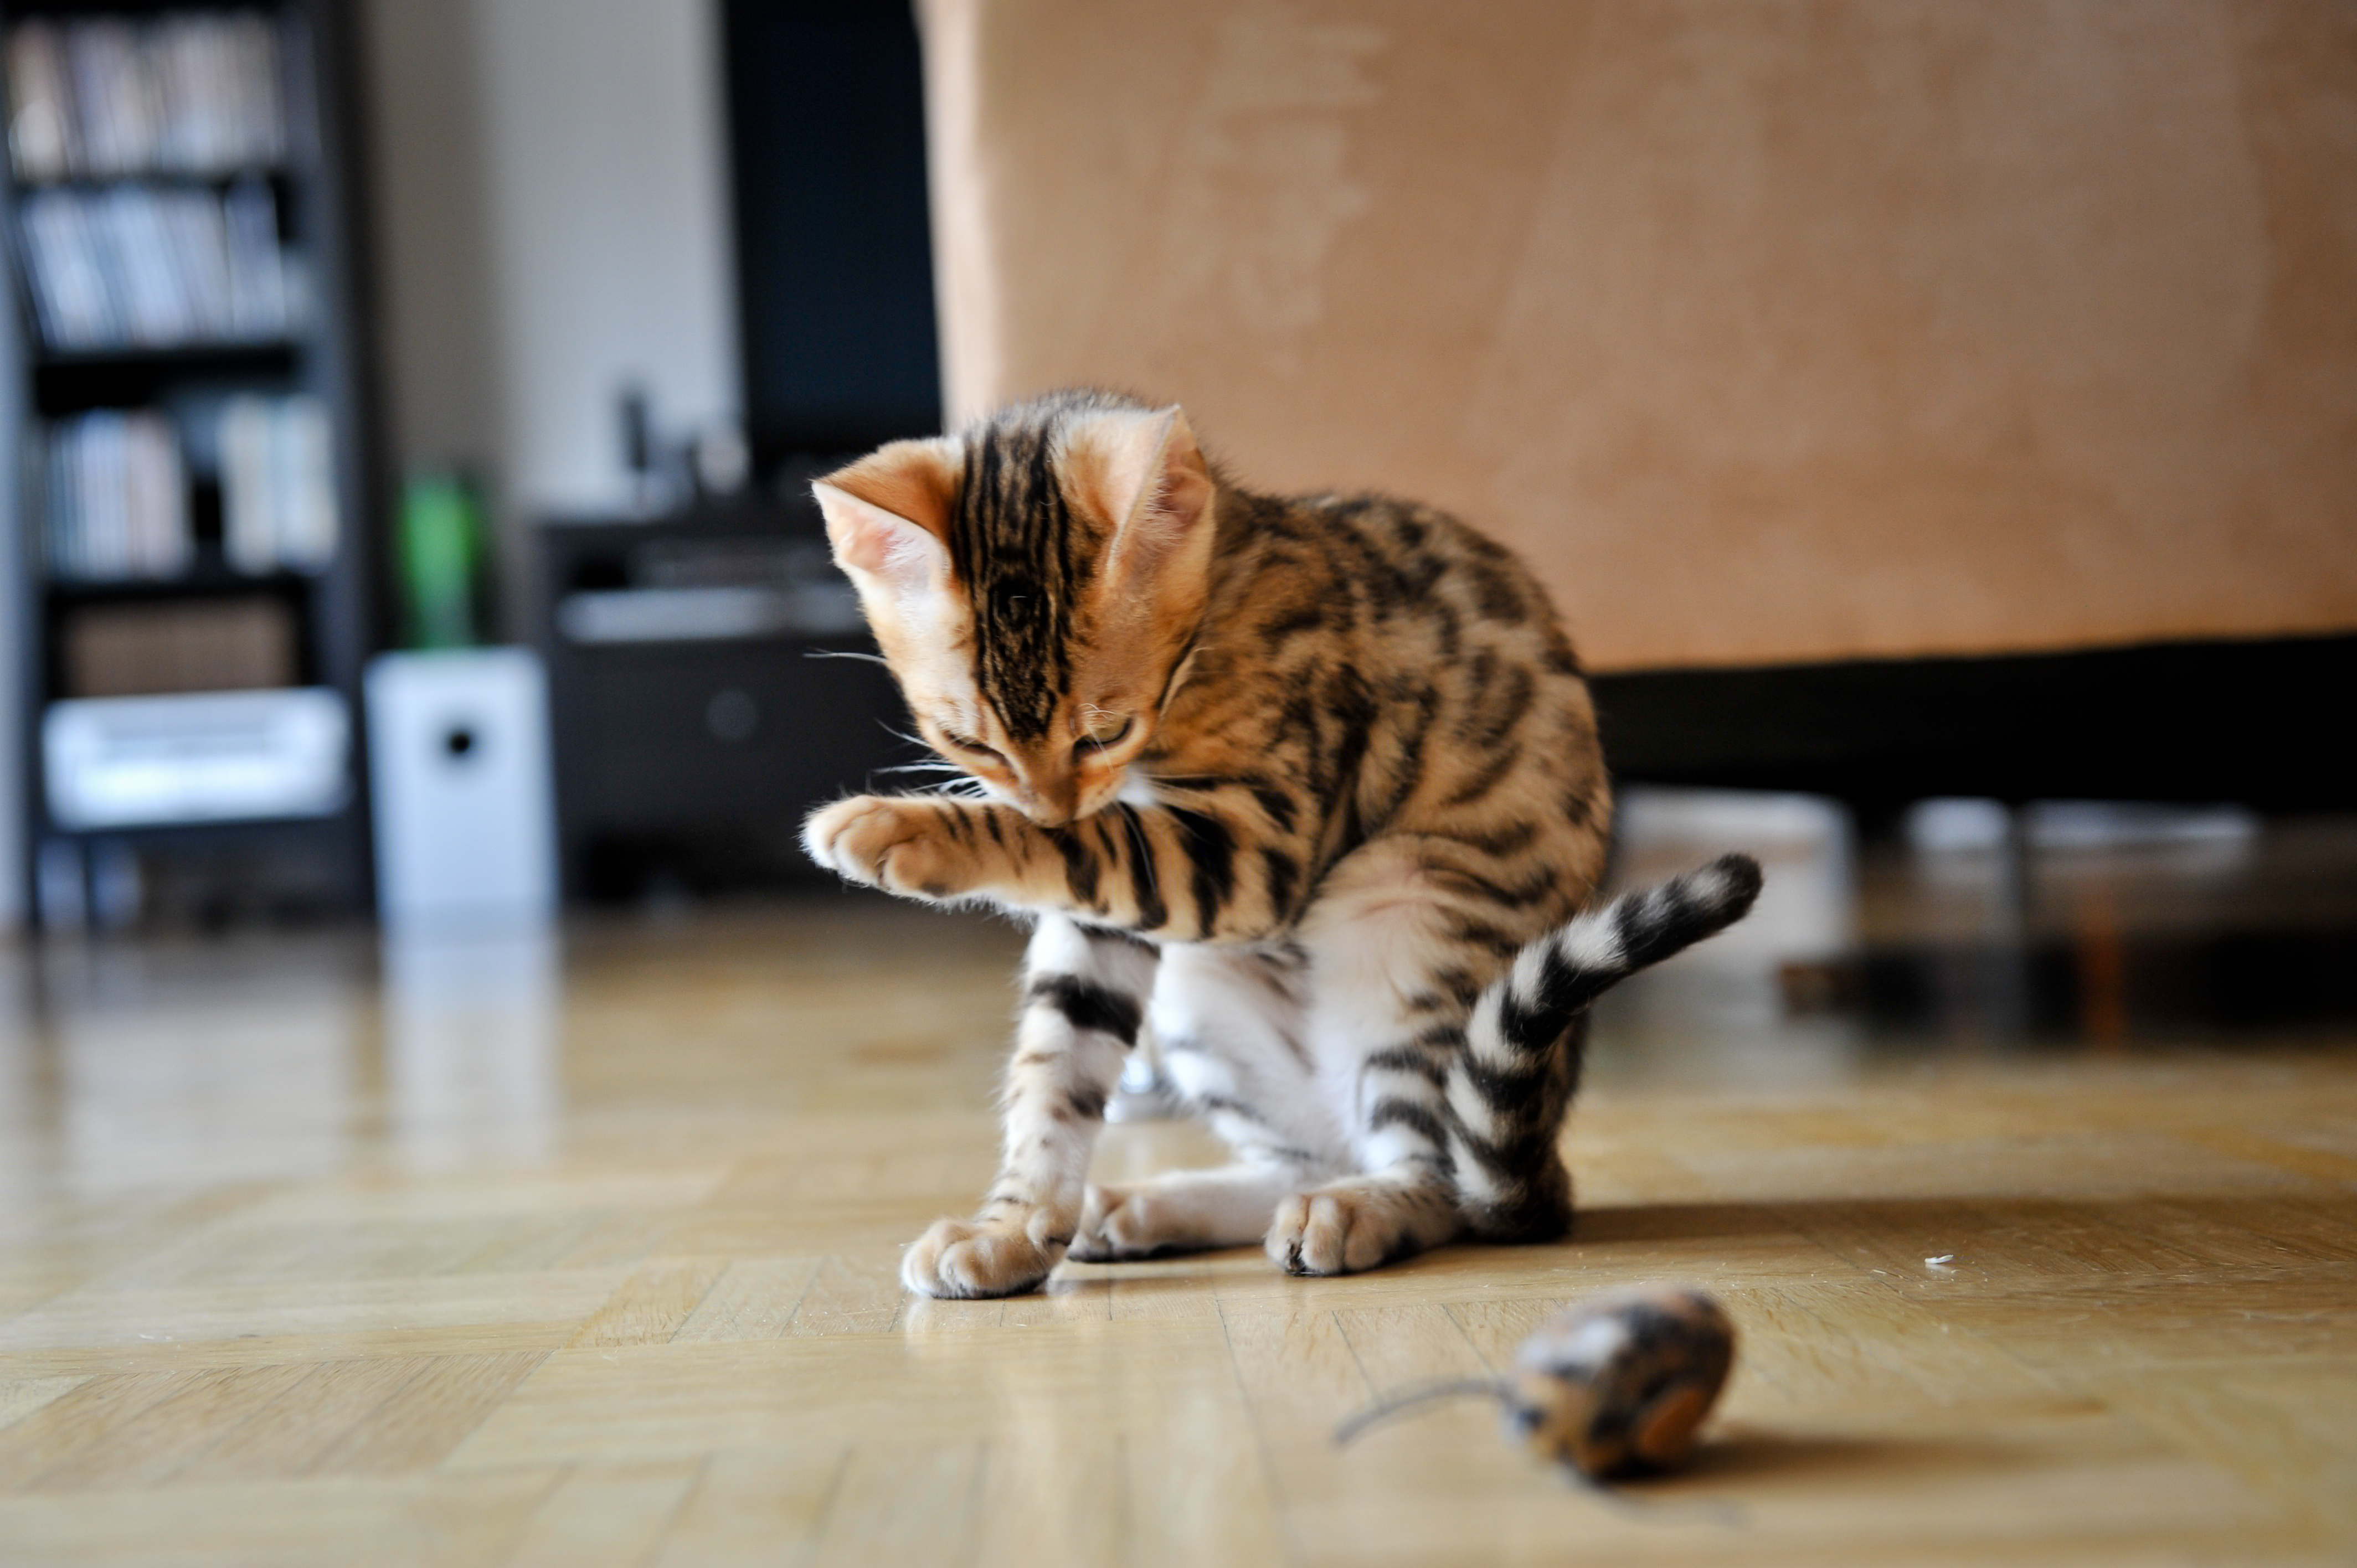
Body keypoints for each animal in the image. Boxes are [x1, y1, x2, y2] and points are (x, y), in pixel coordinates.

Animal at [804, 389, 1760, 1299]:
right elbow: (1056, 1069)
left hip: (1406, 913)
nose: (1049, 809)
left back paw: (1358, 1210)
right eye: (972, 743)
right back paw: (1146, 1206)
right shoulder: (1104, 921)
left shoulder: (1248, 851)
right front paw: (1010, 1229)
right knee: (1309, 1158)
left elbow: (1094, 851)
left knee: (1439, 1173)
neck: (1223, 599)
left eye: (1103, 732)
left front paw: (895, 827)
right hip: (1202, 996)